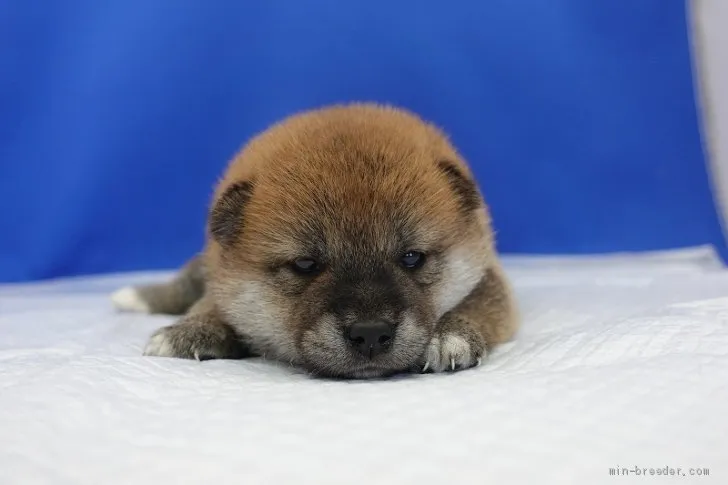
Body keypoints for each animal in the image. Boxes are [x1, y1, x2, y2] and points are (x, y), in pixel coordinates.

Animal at [112, 103, 516, 378]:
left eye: (412, 257)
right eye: (306, 264)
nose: (371, 334)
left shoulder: (488, 277)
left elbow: (477, 304)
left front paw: (451, 336)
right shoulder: (225, 283)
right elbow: (212, 303)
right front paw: (192, 331)